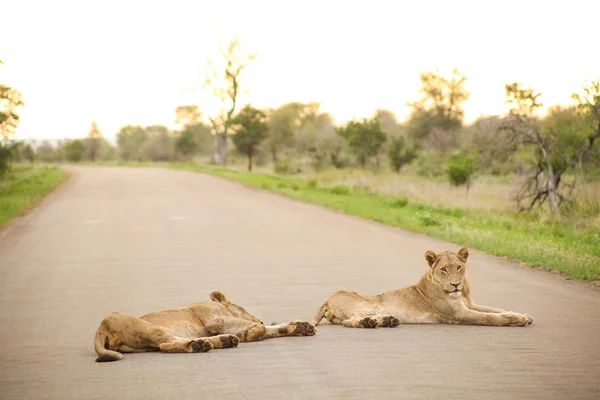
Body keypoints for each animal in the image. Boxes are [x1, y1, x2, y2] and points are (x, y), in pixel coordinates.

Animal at [93, 290, 316, 362]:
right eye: (243, 307)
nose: (260, 319)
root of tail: (101, 327)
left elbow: (271, 329)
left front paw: (300, 327)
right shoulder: (214, 320)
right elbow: (258, 329)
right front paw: (253, 331)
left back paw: (223, 341)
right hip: (145, 327)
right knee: (166, 344)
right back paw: (200, 345)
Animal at [312, 247, 532, 328]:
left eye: (458, 267)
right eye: (443, 269)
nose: (455, 284)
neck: (461, 293)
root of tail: (328, 299)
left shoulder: (470, 304)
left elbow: (496, 309)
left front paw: (524, 314)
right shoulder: (458, 314)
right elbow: (490, 317)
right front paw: (518, 320)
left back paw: (387, 321)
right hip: (363, 306)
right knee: (350, 321)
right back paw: (370, 323)